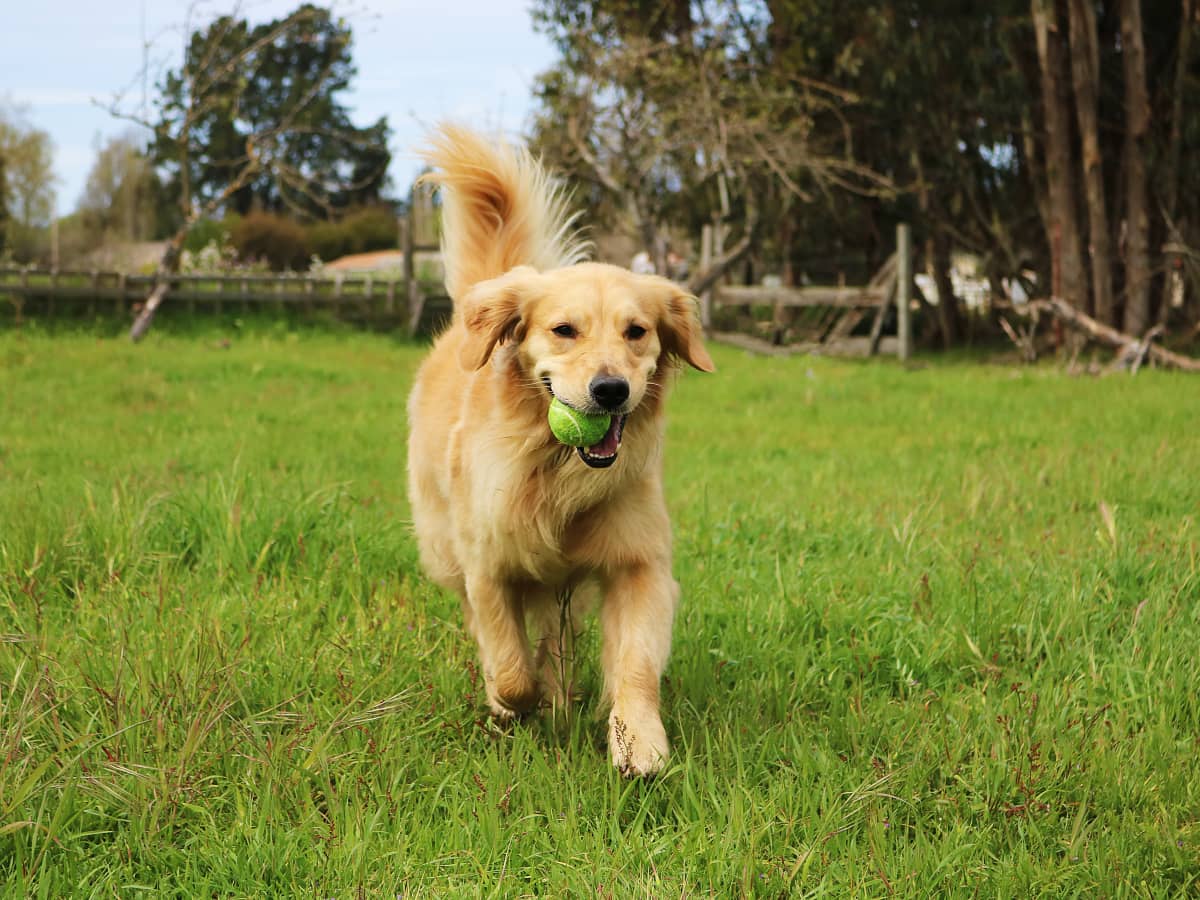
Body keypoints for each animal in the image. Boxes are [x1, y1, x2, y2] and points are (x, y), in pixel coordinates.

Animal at [408, 123, 715, 777]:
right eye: (563, 330)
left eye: (637, 331)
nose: (611, 389)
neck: (553, 470)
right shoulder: (489, 564)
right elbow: (507, 661)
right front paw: (509, 701)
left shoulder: (637, 562)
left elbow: (635, 662)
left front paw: (639, 743)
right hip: (444, 544)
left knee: (556, 634)